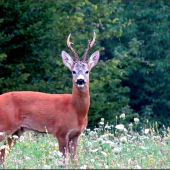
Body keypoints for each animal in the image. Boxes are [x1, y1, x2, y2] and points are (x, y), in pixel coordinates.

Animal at [0, 32, 99, 166]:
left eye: (87, 71)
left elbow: (75, 160)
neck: (75, 110)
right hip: (5, 125)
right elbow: (64, 161)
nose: (80, 81)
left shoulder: (76, 134)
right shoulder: (61, 132)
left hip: (16, 132)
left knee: (3, 154)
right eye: (73, 71)